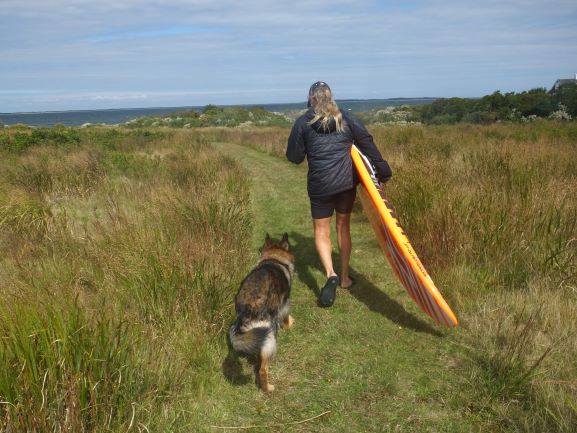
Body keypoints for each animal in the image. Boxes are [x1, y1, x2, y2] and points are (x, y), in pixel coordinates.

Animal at [229, 233, 295, 392]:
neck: (274, 259)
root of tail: (247, 309)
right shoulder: (285, 305)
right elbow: (286, 318)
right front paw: (290, 324)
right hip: (270, 336)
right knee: (262, 370)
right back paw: (268, 388)